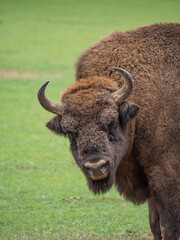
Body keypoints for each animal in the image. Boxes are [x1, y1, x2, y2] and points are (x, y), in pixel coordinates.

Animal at [37, 23, 179, 240]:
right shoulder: (151, 184)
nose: (96, 167)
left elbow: (168, 226)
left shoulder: (166, 175)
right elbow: (155, 226)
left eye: (111, 122)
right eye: (69, 132)